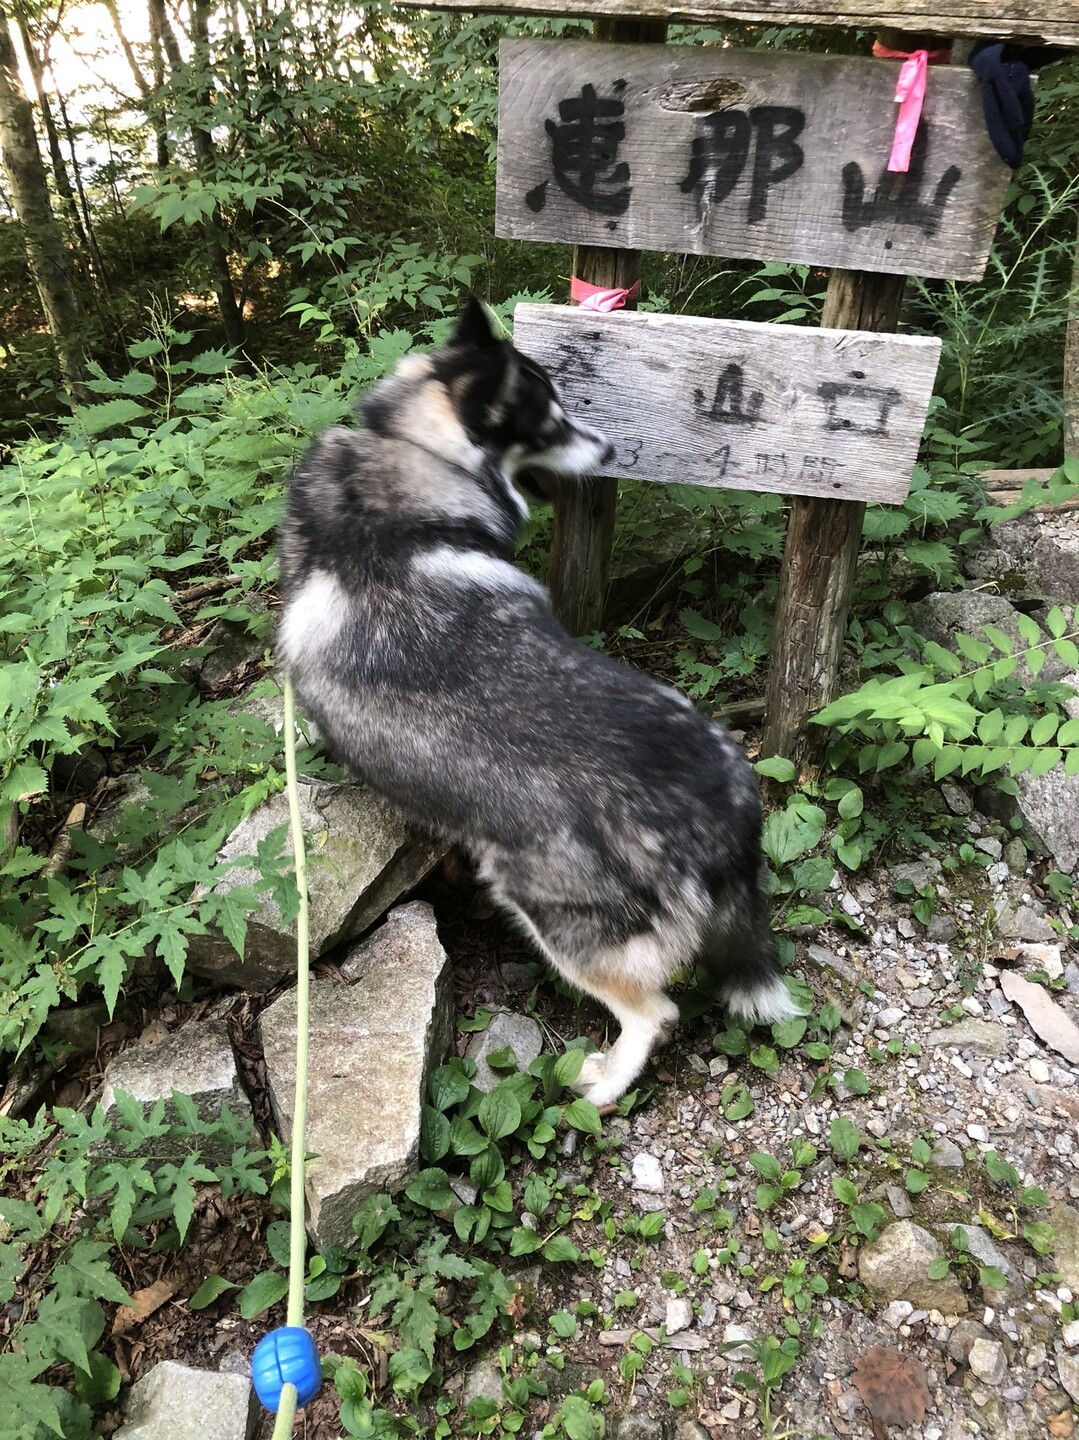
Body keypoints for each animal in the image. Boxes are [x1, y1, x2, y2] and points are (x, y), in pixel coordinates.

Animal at [278, 292, 800, 1100]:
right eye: (552, 425)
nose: (612, 452)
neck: (414, 461)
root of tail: (723, 808)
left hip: (557, 923)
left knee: (655, 1012)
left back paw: (605, 1085)